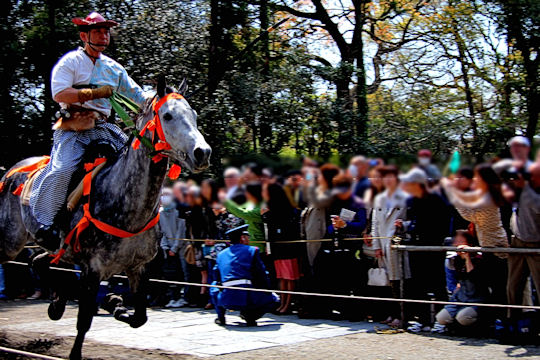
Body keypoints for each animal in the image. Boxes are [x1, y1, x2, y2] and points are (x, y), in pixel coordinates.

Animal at [0, 77, 211, 358]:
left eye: (194, 115)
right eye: (167, 115)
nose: (202, 153)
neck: (125, 203)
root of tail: (10, 171)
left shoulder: (138, 267)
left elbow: (139, 317)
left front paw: (115, 304)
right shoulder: (93, 268)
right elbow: (84, 320)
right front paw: (108, 304)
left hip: (55, 248)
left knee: (38, 262)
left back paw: (57, 305)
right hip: (10, 242)